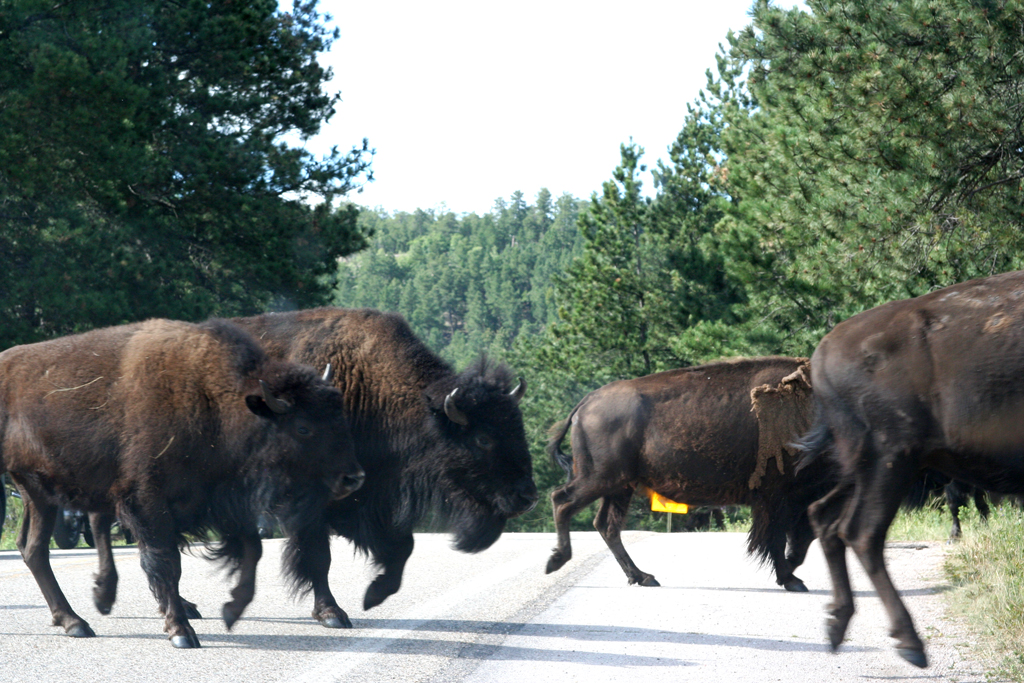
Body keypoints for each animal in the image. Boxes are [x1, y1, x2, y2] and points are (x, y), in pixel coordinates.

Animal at [0, 318, 365, 647]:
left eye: (340, 417)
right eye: (303, 427)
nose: (354, 477)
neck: (211, 398)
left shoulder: (221, 503)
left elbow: (252, 551)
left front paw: (231, 610)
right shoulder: (148, 502)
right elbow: (166, 563)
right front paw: (181, 632)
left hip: (38, 493)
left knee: (34, 548)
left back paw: (75, 619)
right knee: (42, 547)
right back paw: (80, 618)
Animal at [544, 356, 835, 592]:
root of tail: (586, 403)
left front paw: (790, 575)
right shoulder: (777, 496)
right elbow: (776, 537)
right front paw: (792, 580)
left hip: (620, 486)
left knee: (606, 524)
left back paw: (643, 577)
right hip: (601, 478)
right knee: (562, 500)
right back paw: (555, 561)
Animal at [797, 269, 1024, 668]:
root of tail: (822, 355)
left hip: (868, 468)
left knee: (824, 516)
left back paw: (837, 625)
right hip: (890, 461)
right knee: (861, 532)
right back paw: (910, 643)